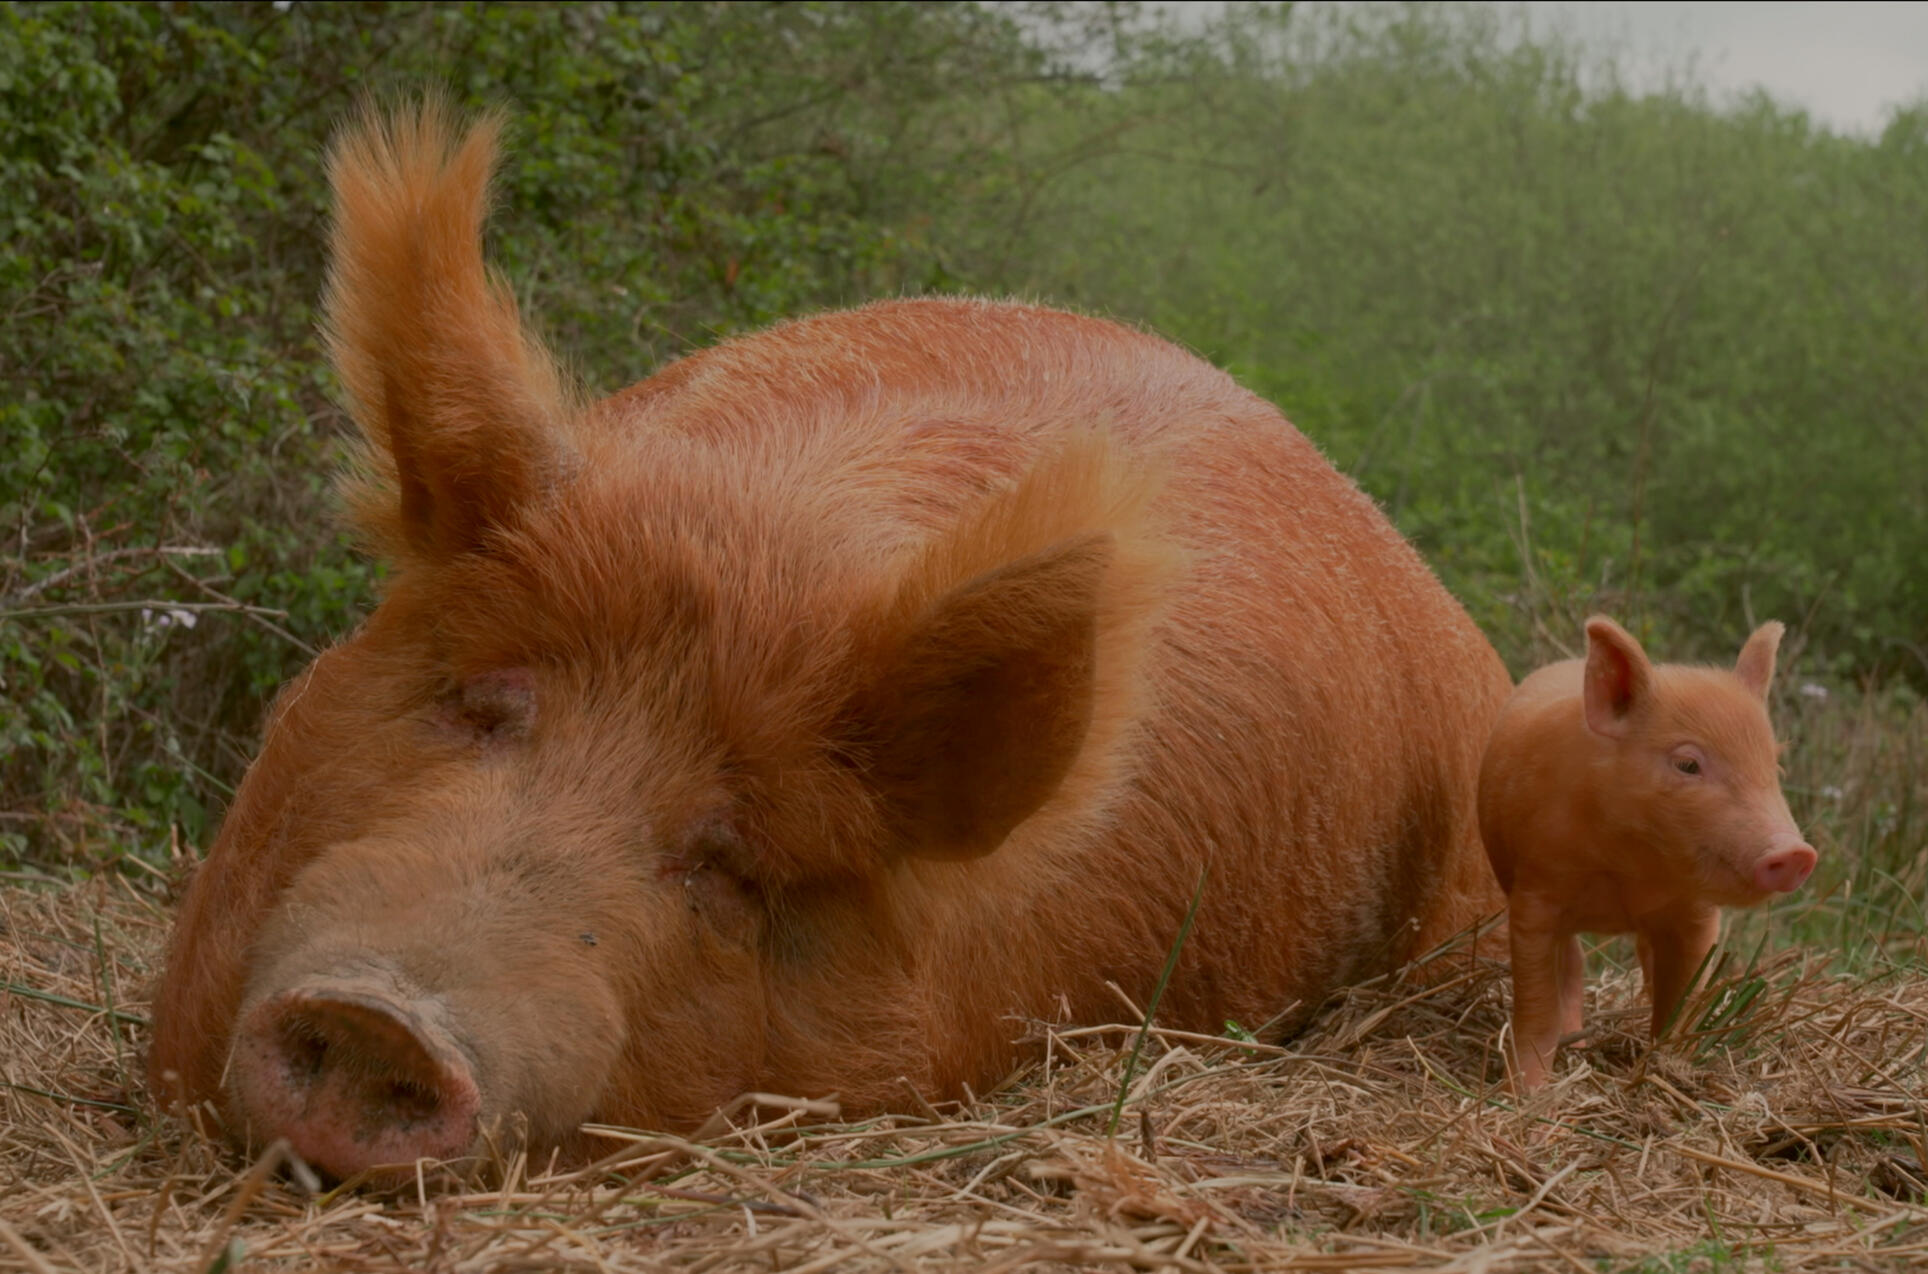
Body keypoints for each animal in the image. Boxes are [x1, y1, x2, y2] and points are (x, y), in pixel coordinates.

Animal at [1478, 616, 1817, 1091]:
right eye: (1688, 764)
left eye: (1775, 767)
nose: (1795, 852)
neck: (1632, 871)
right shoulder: (1535, 894)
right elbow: (1538, 1001)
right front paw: (1524, 1091)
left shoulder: (1694, 916)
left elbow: (1681, 997)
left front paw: (1670, 1067)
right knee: (1573, 965)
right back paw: (1576, 1045)